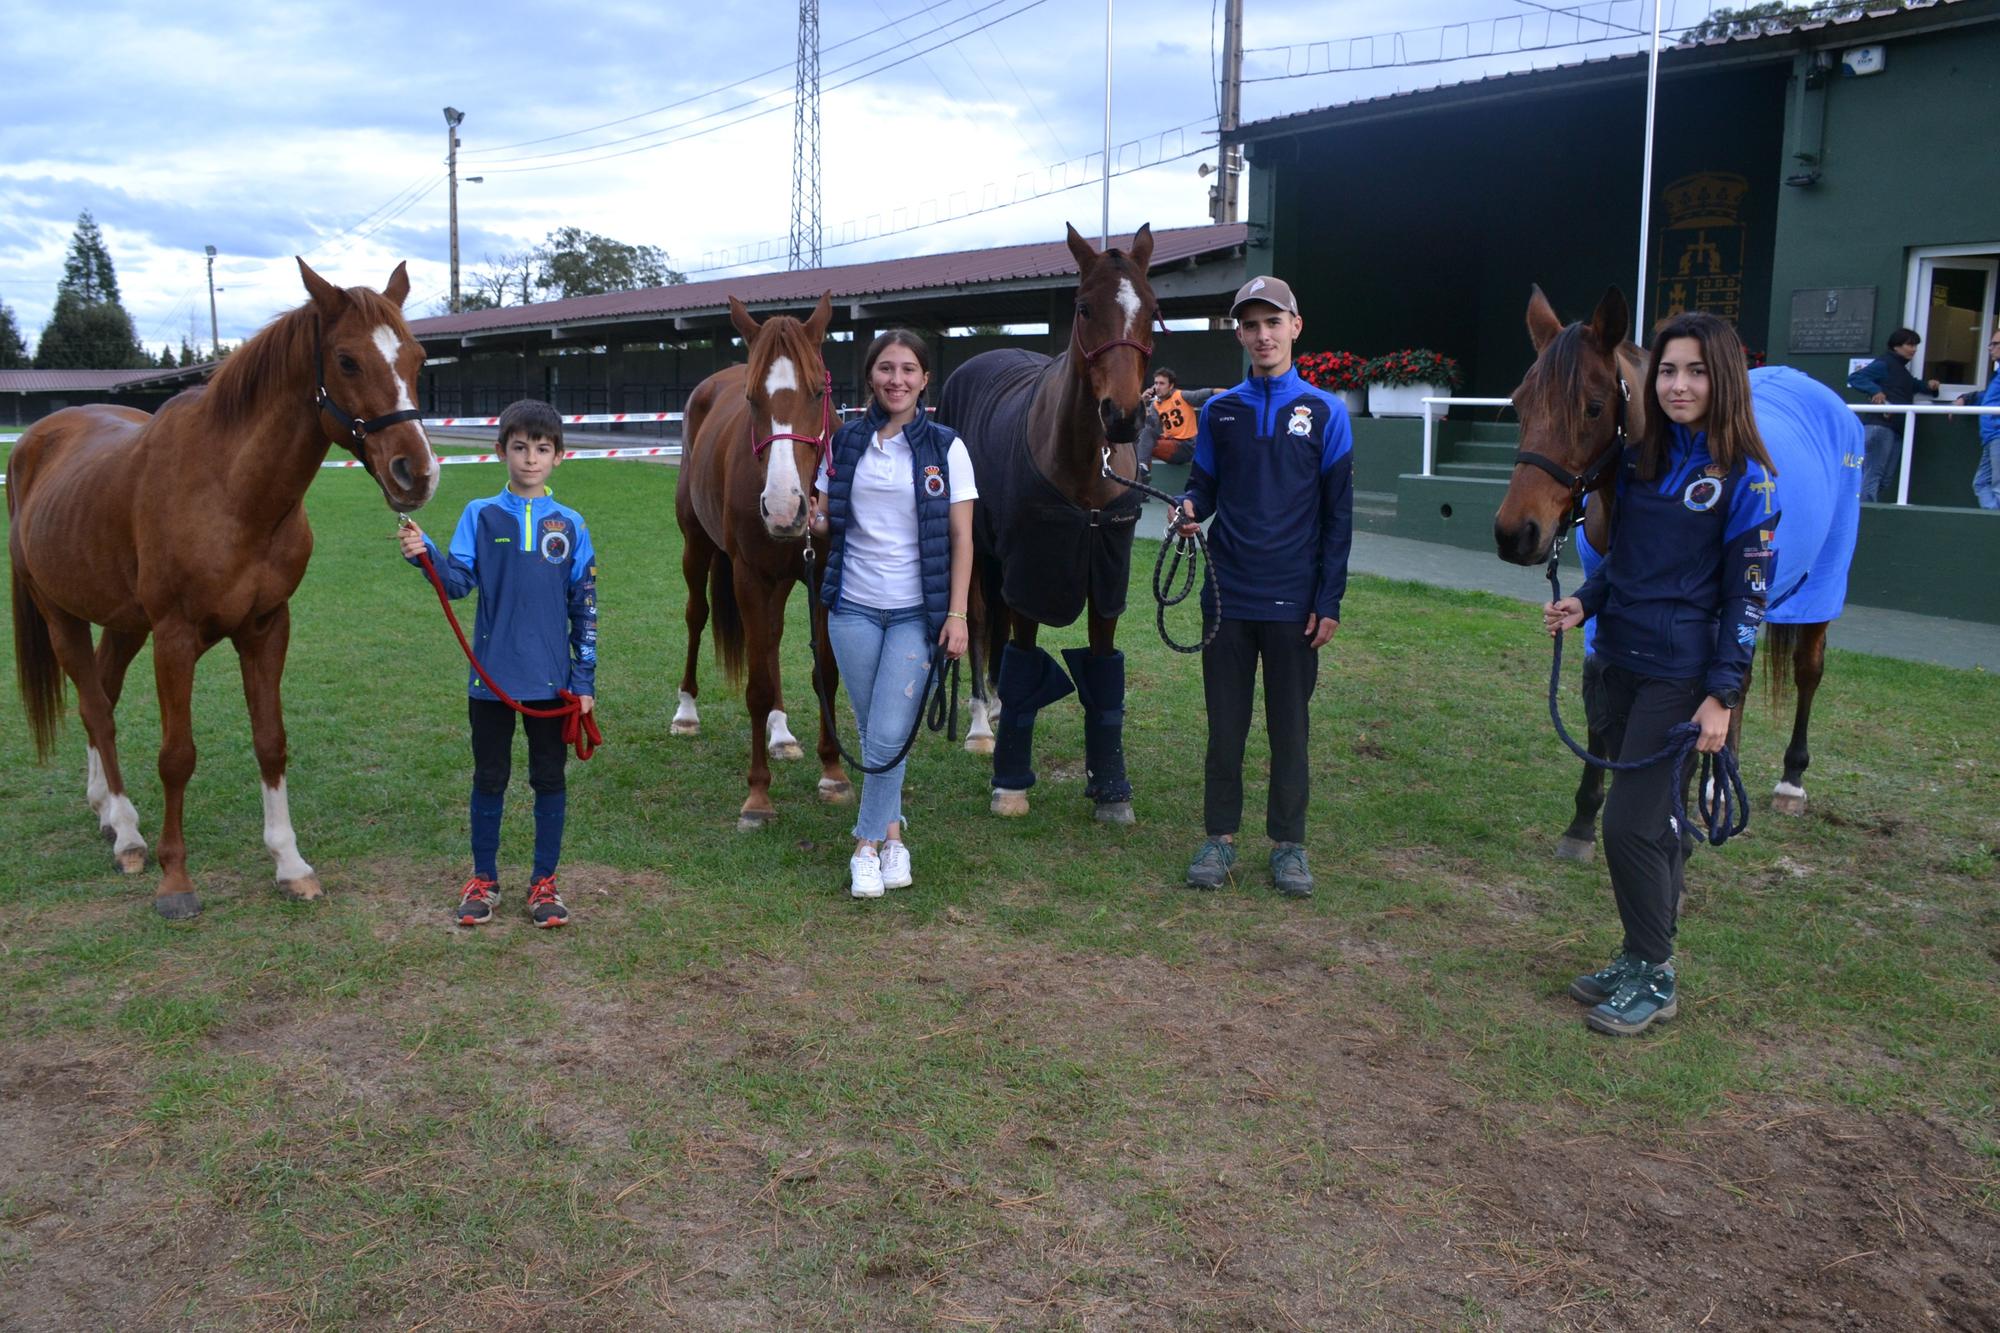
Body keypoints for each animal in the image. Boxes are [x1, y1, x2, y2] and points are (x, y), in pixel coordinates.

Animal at [13, 264, 438, 920]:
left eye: (417, 357)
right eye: (346, 360)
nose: (415, 473)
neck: (230, 489)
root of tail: (38, 438)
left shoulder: (267, 626)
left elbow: (271, 742)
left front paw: (290, 864)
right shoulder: (174, 637)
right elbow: (177, 756)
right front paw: (175, 882)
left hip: (122, 623)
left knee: (100, 697)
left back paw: (107, 811)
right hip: (60, 615)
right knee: (96, 710)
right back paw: (129, 835)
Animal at [676, 296, 856, 824]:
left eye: (818, 392)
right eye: (753, 398)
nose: (782, 508)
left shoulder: (823, 576)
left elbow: (826, 673)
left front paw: (833, 772)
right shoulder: (750, 576)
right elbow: (755, 686)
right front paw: (758, 795)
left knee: (771, 639)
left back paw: (781, 733)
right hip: (697, 548)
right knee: (697, 616)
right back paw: (686, 711)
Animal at [936, 223, 1160, 820]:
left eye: (1152, 309)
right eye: (1084, 308)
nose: (1122, 417)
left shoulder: (1108, 577)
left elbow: (1103, 674)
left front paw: (1111, 790)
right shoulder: (1033, 574)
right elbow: (1022, 657)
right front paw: (1010, 784)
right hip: (982, 553)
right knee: (980, 622)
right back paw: (979, 724)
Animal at [1496, 288, 1864, 852]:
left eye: (1594, 407)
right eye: (1519, 404)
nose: (1516, 534)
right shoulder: (1606, 606)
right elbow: (1601, 703)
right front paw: (1584, 819)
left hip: (1819, 584)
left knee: (1806, 671)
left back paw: (1790, 780)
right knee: (1739, 684)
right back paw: (1718, 785)